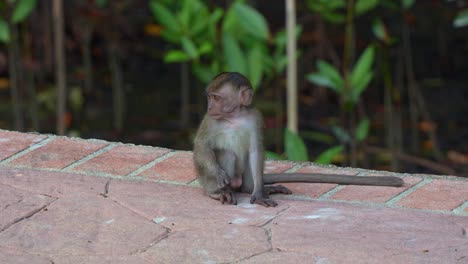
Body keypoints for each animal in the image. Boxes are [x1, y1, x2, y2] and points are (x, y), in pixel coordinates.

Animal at [192, 71, 404, 206]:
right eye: (210, 97)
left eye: (216, 98)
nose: (210, 107)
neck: (234, 117)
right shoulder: (210, 121)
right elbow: (202, 146)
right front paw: (218, 174)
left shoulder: (255, 117)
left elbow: (255, 151)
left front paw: (259, 193)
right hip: (207, 180)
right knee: (226, 154)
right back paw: (219, 193)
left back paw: (249, 188)